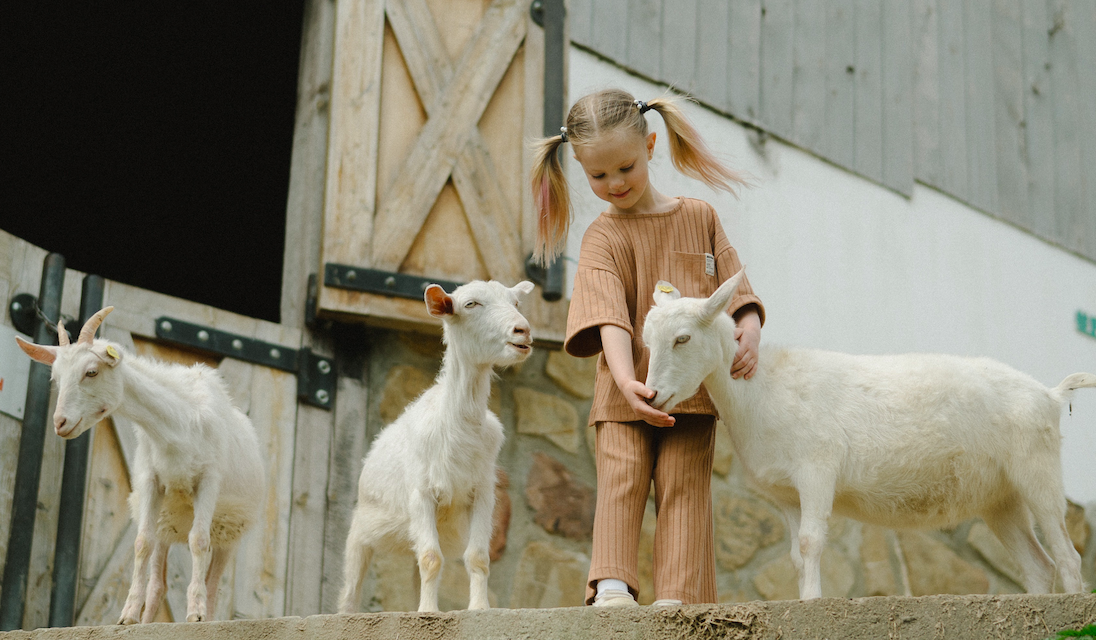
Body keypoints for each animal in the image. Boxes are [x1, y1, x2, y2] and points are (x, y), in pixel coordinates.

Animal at [18, 306, 266, 622]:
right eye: (56, 378)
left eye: (91, 371)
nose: (60, 422)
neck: (178, 425)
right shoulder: (152, 481)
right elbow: (140, 543)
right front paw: (128, 615)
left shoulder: (209, 479)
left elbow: (198, 540)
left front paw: (195, 613)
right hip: (167, 523)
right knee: (158, 584)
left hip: (230, 528)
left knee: (212, 584)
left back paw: (204, 613)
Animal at [337, 280, 534, 613]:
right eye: (470, 304)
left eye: (516, 302)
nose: (523, 330)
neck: (458, 426)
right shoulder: (422, 493)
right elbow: (431, 559)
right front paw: (429, 612)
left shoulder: (482, 492)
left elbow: (478, 558)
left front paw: (479, 607)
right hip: (361, 528)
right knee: (351, 587)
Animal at [640, 271, 1096, 600]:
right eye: (647, 339)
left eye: (683, 338)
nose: (653, 395)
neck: (764, 389)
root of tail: (1051, 394)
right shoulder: (785, 493)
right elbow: (794, 555)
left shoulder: (817, 469)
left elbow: (811, 542)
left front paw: (812, 602)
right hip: (1002, 496)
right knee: (1038, 565)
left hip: (1038, 470)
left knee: (1068, 556)